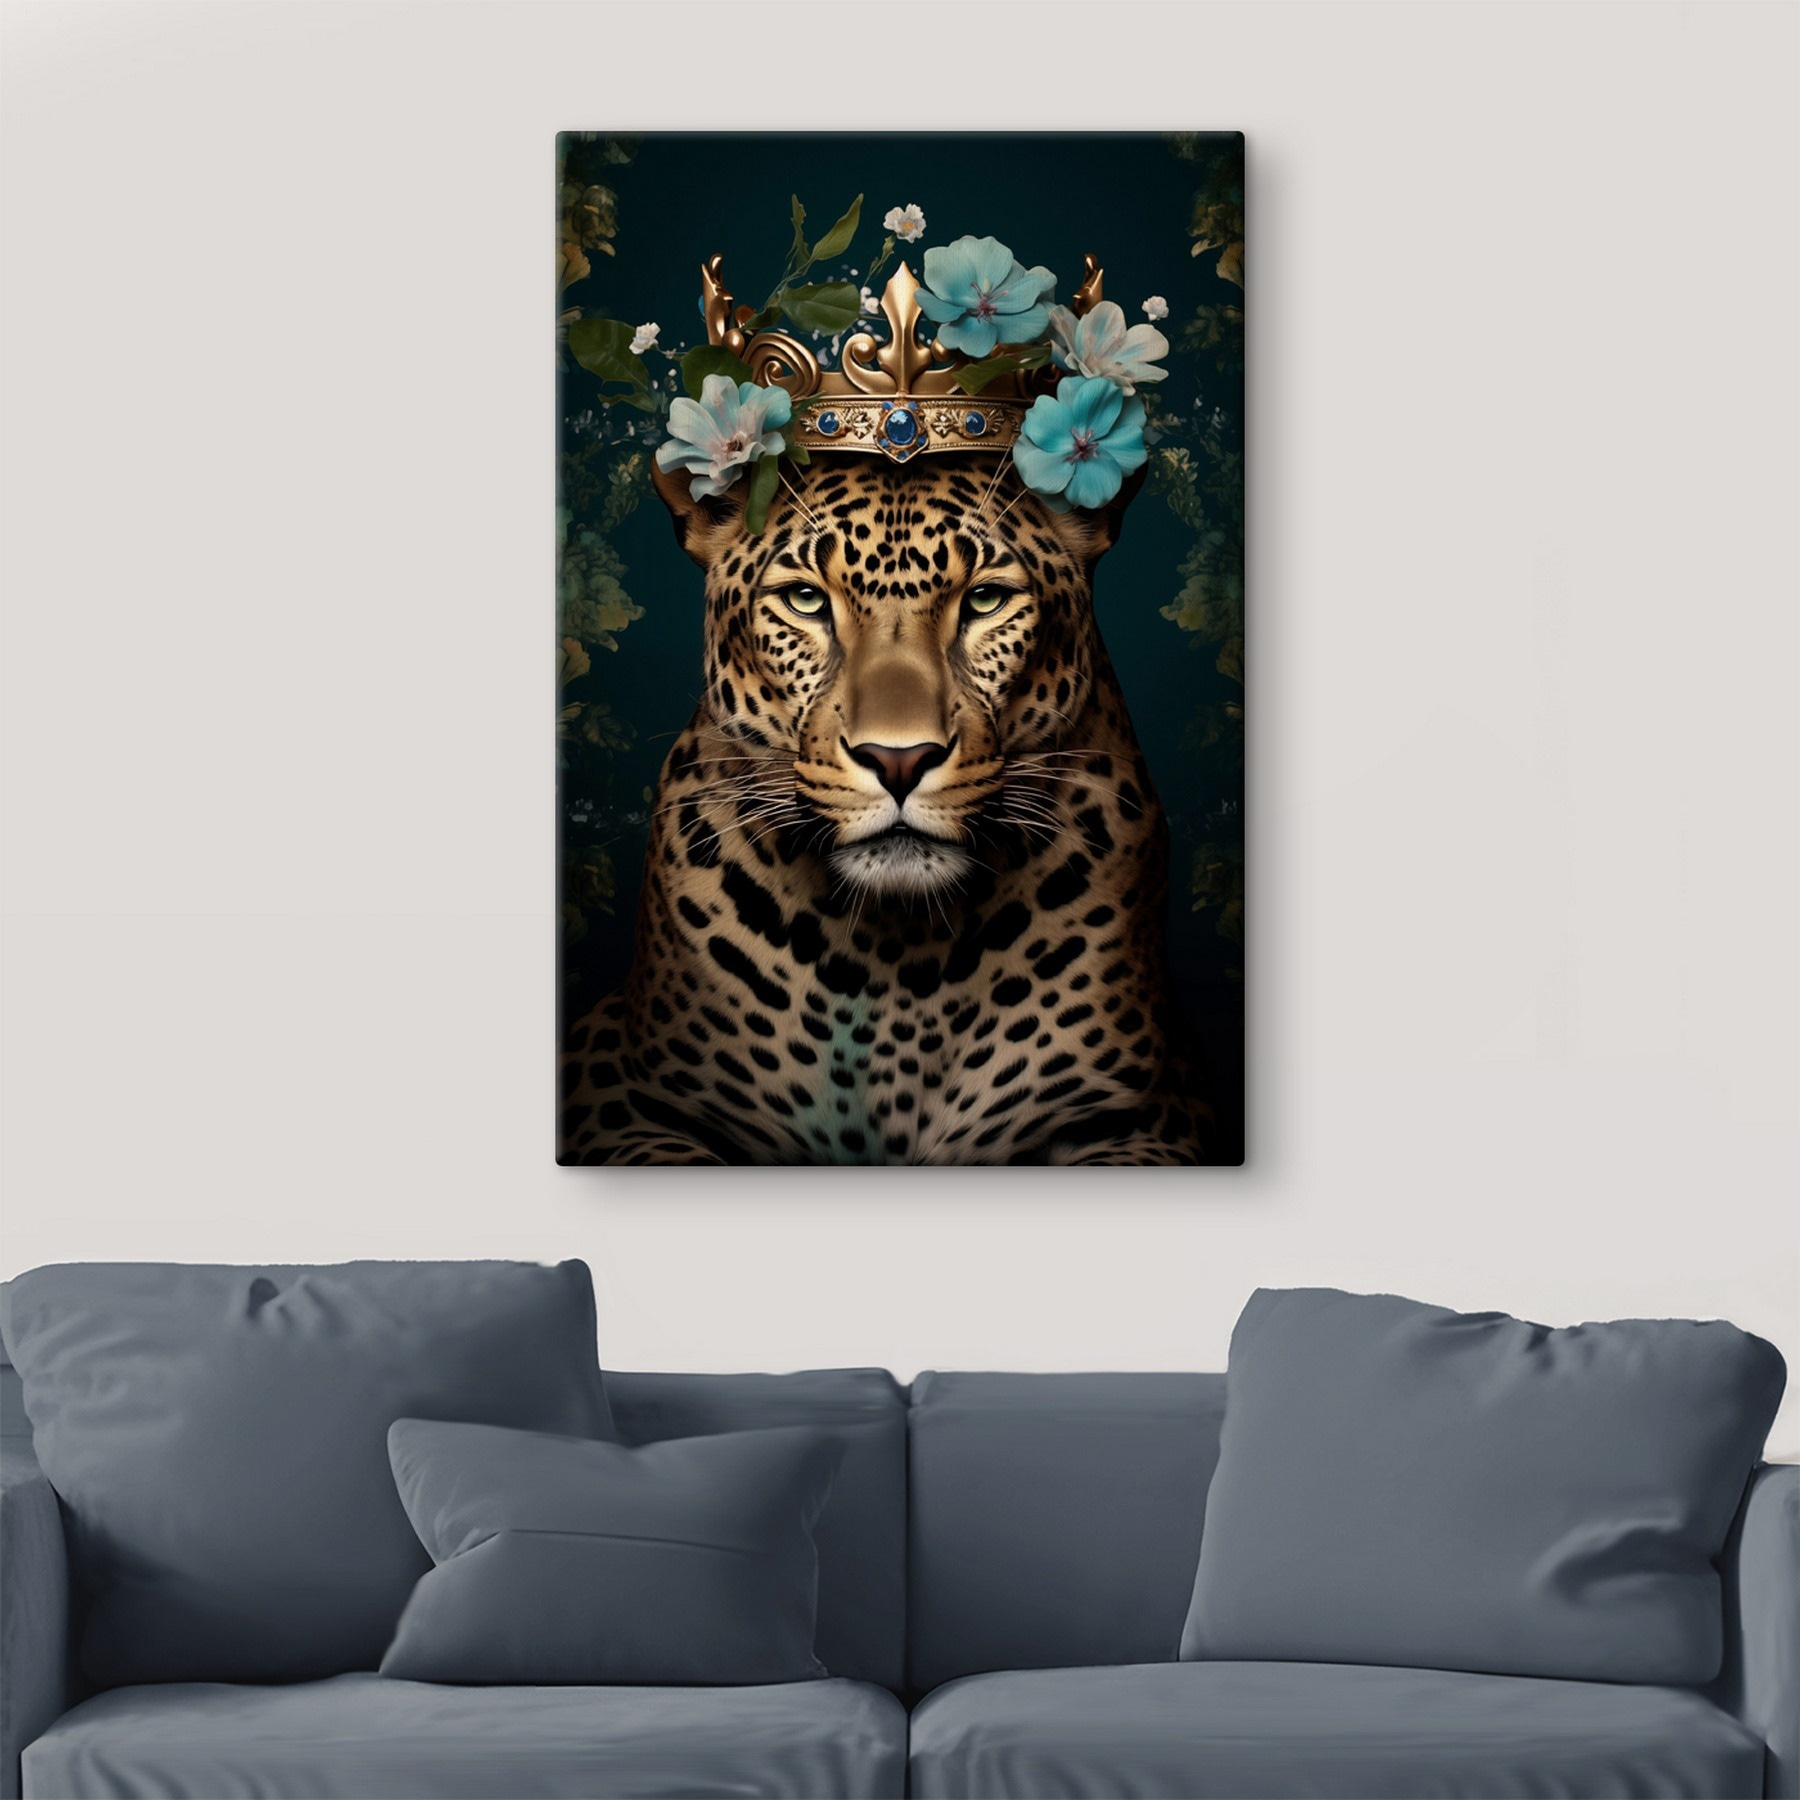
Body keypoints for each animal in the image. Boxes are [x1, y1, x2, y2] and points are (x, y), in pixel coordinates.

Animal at [557, 449, 1211, 1166]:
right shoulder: (623, 1092)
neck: (900, 954)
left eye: (985, 599)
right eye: (806, 600)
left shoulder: (1144, 1115)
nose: (899, 760)